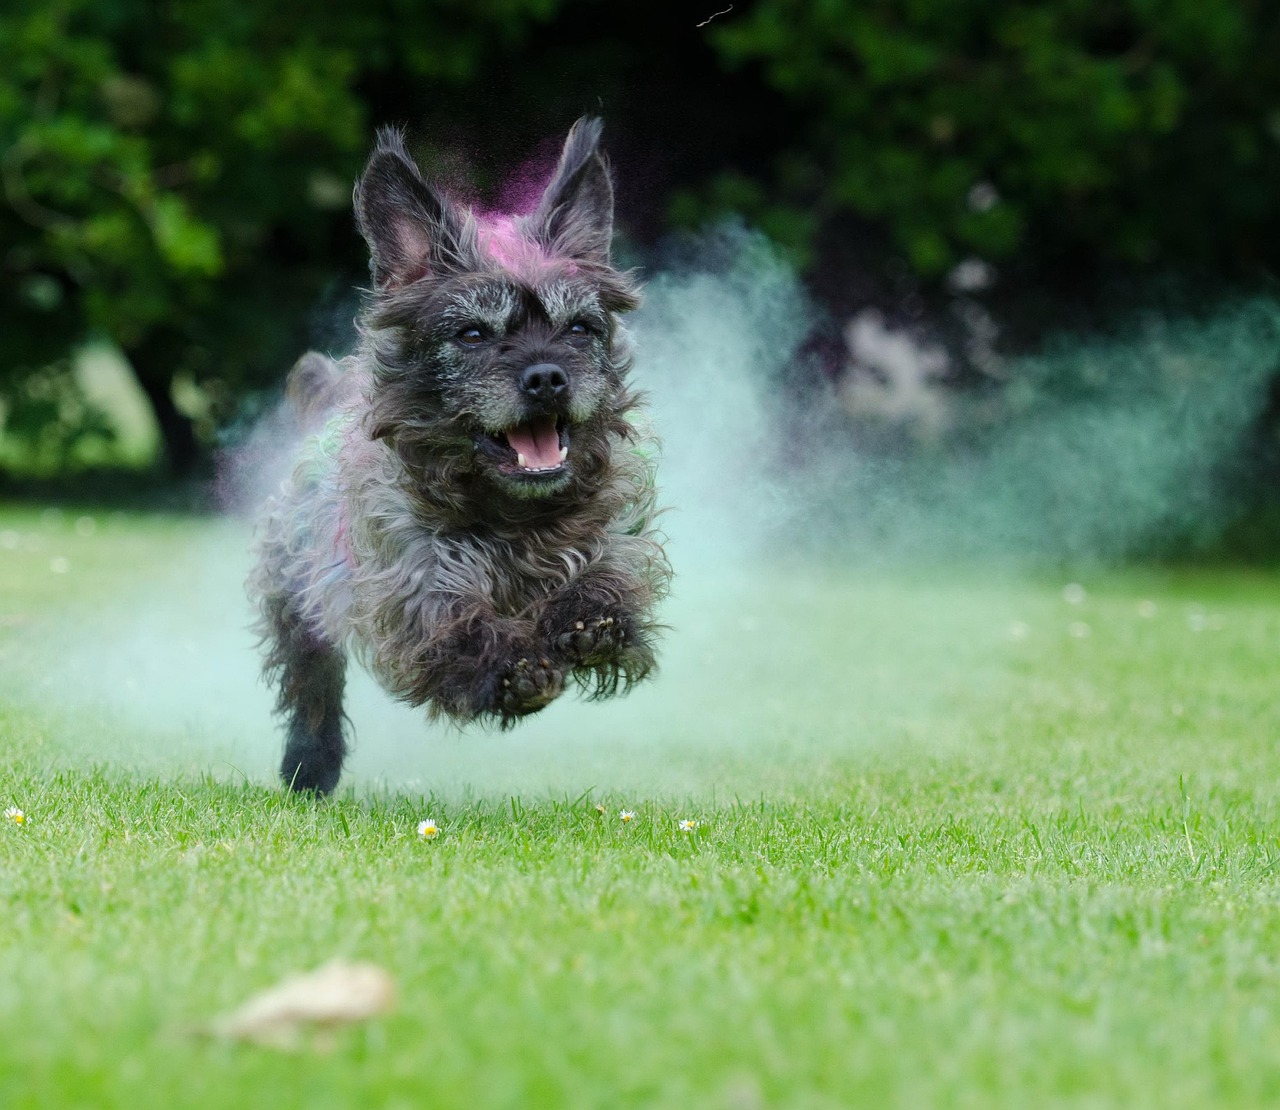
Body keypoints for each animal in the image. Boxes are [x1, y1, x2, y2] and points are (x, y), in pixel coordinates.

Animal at [245, 119, 675, 788]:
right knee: (312, 683)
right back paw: (309, 762)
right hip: (298, 598)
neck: (510, 514)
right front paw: (512, 668)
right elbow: (454, 624)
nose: (547, 377)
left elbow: (603, 574)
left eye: (579, 328)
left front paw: (589, 620)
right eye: (473, 334)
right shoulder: (409, 583)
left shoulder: (611, 536)